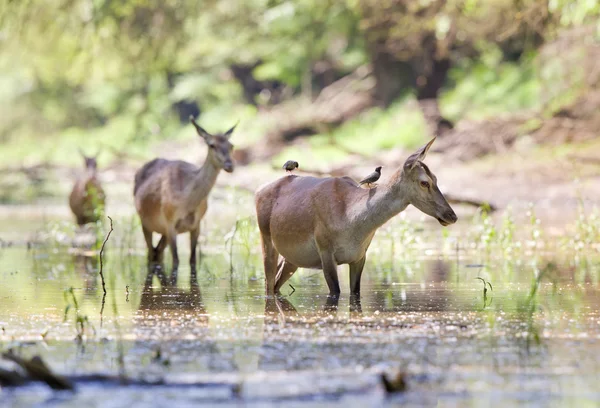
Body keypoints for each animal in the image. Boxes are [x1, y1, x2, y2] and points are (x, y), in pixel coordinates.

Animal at [134, 116, 237, 278]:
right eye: (212, 145)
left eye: (231, 145)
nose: (229, 165)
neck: (187, 203)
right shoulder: (170, 222)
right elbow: (176, 261)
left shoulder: (196, 224)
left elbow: (192, 260)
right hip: (145, 223)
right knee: (151, 254)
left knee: (158, 253)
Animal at [255, 137, 458, 296]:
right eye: (424, 182)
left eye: (436, 178)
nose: (452, 215)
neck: (351, 222)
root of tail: (257, 191)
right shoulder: (325, 250)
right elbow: (336, 292)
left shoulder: (360, 255)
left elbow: (355, 292)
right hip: (266, 238)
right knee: (268, 284)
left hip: (291, 258)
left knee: (275, 284)